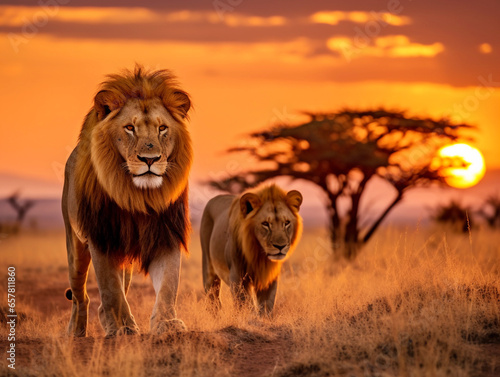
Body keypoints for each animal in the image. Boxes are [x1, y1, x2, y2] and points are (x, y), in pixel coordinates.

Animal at [63, 64, 192, 334]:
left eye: (162, 128)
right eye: (130, 128)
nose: (150, 159)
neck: (137, 196)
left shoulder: (166, 235)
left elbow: (168, 285)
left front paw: (168, 323)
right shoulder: (101, 237)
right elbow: (111, 289)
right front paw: (122, 328)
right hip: (75, 244)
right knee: (81, 296)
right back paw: (76, 332)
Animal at [200, 184, 302, 312]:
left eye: (287, 222)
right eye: (265, 224)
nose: (280, 246)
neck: (259, 255)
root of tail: (216, 197)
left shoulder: (269, 278)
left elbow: (266, 306)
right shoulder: (237, 276)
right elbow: (245, 305)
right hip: (209, 269)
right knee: (213, 300)